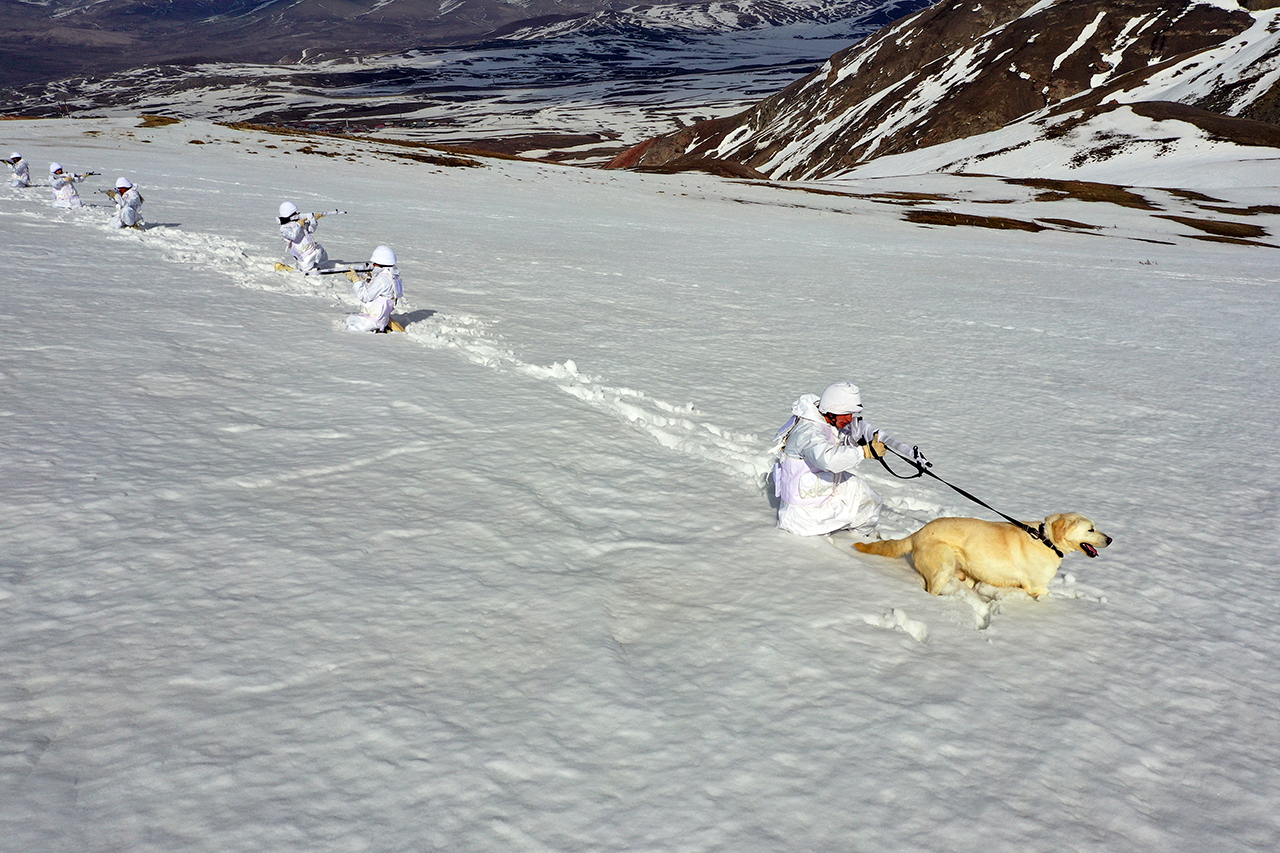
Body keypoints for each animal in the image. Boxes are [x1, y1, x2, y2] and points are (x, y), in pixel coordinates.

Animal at [854, 513, 1112, 599]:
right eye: (1091, 529)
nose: (1110, 539)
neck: (1046, 540)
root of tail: (918, 532)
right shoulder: (1037, 587)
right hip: (944, 564)